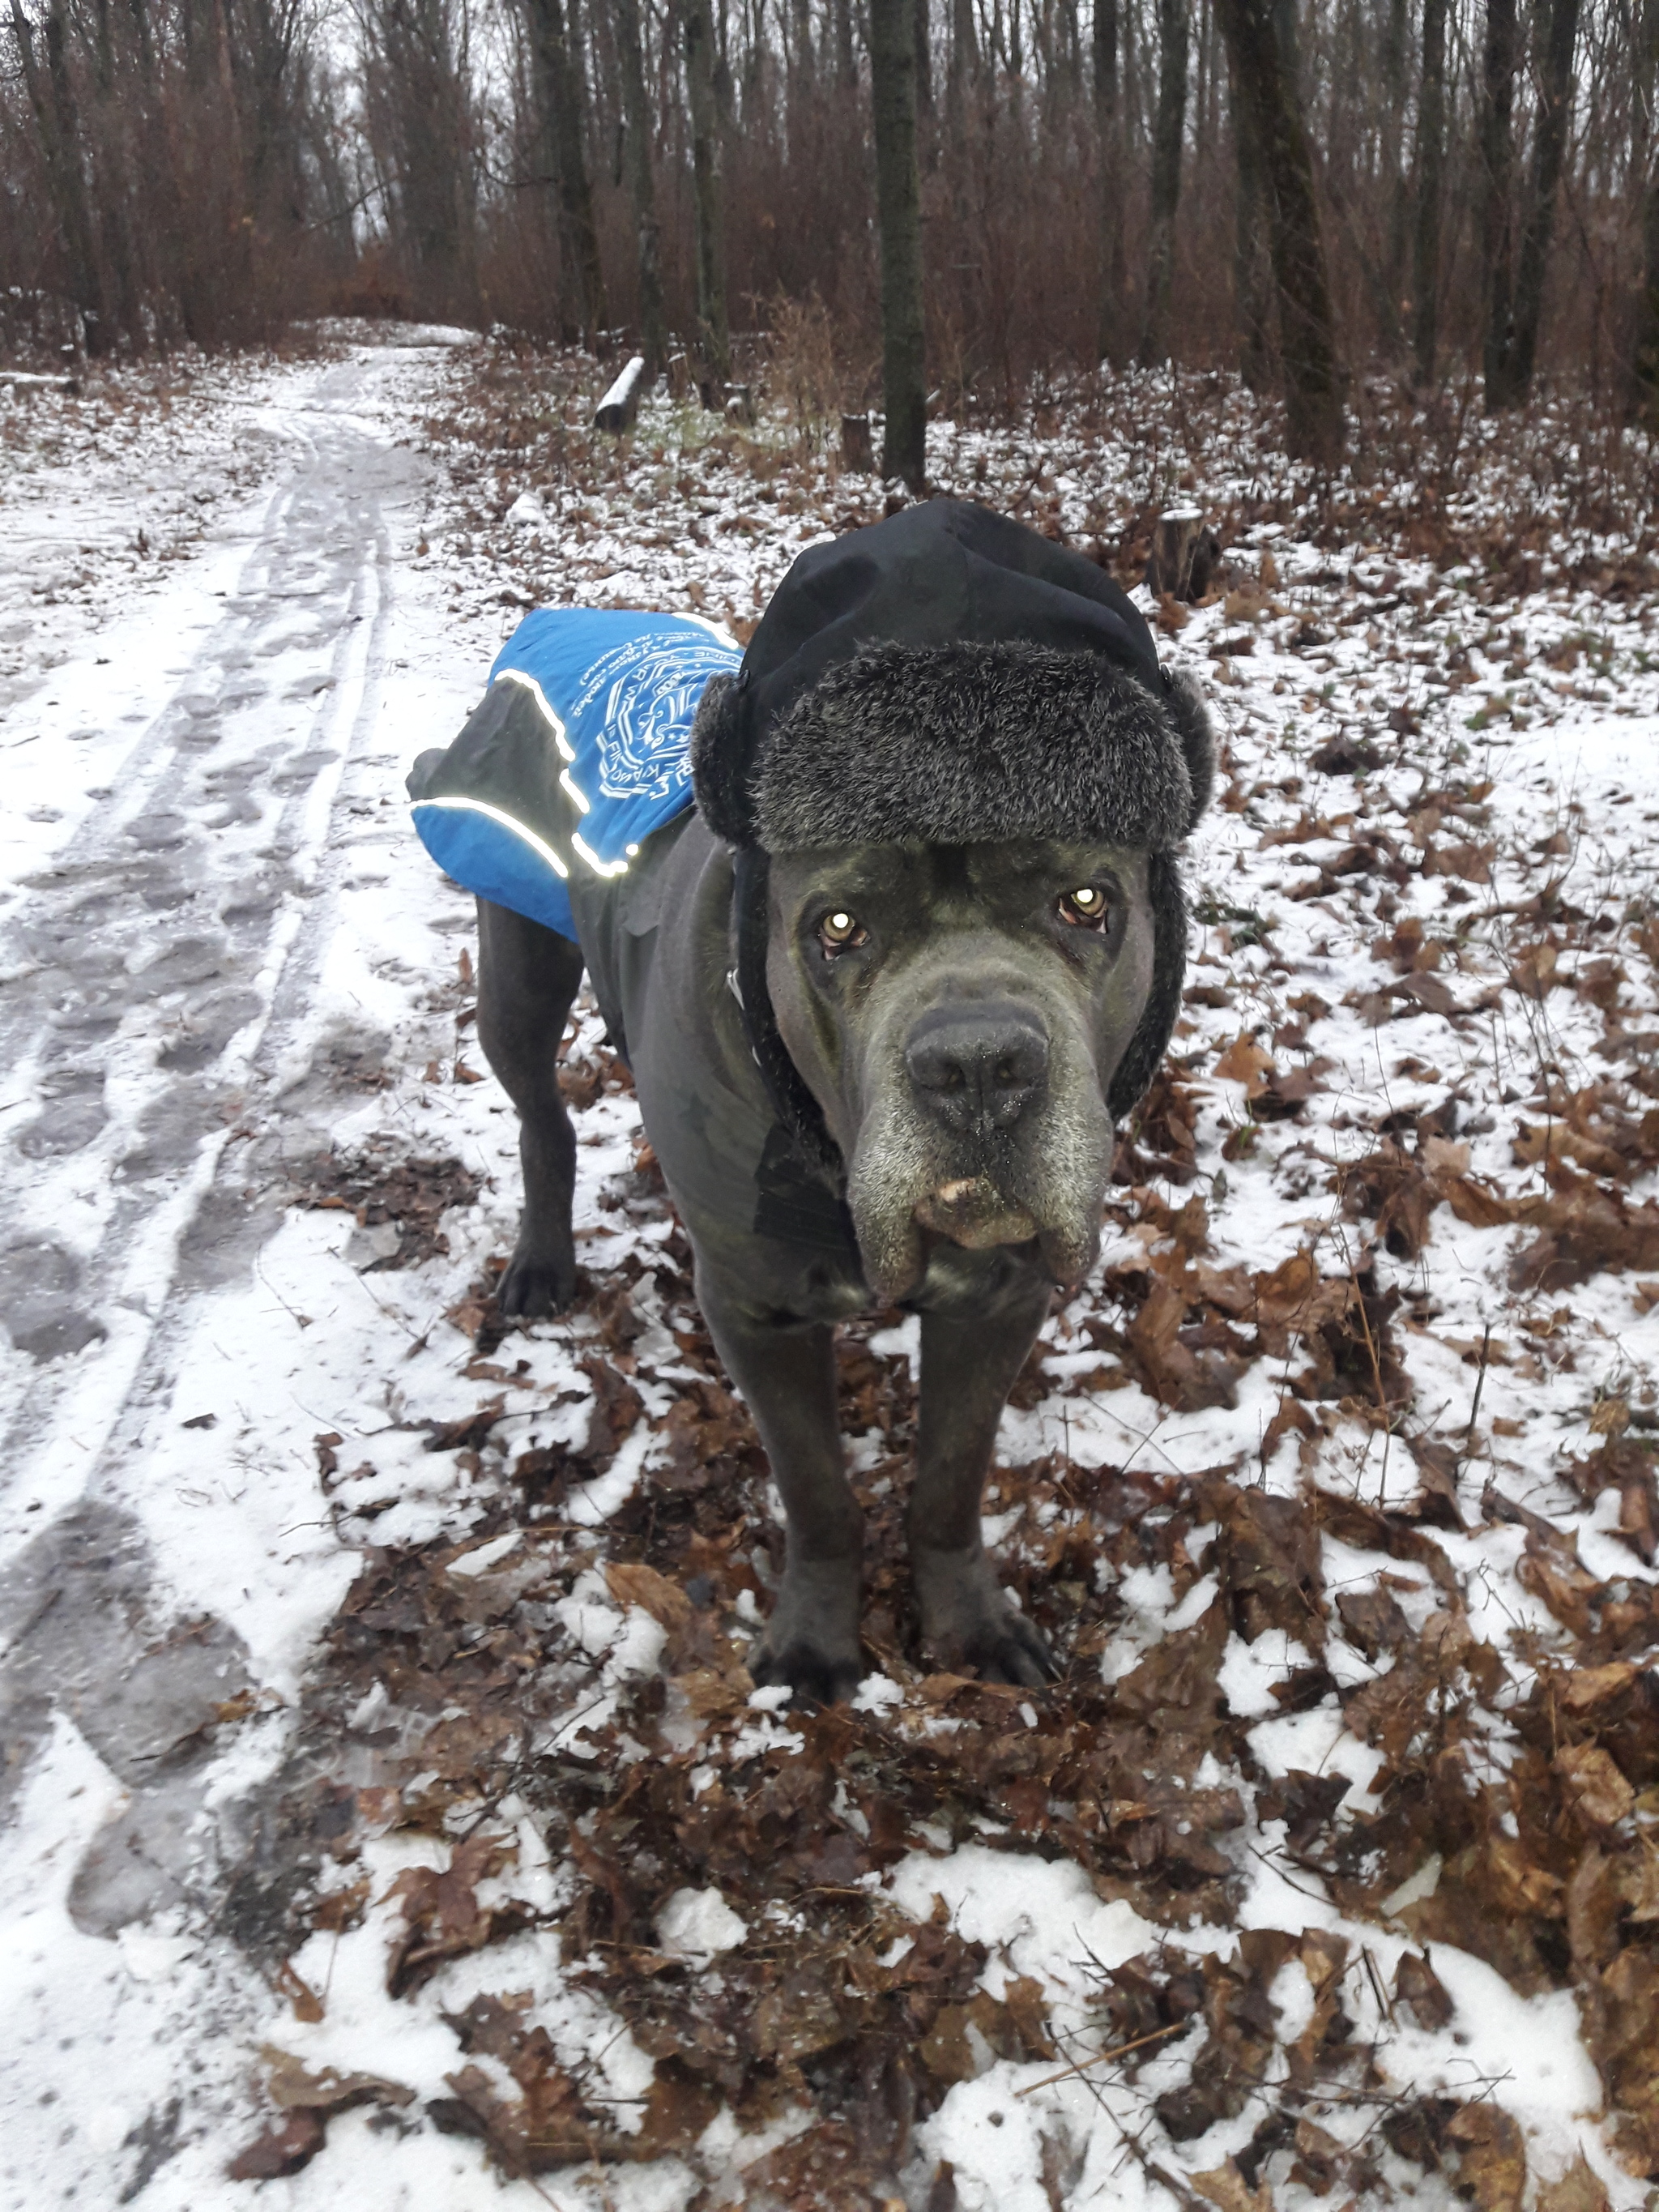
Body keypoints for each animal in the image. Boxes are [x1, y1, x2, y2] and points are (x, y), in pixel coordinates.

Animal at [413, 506, 1221, 1707]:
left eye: (1086, 902)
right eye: (836, 927)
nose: (976, 1066)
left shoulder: (1001, 1296)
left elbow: (948, 1480)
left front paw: (969, 1624)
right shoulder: (756, 1308)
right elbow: (820, 1493)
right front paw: (813, 1646)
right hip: (513, 972)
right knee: (541, 1119)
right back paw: (542, 1264)